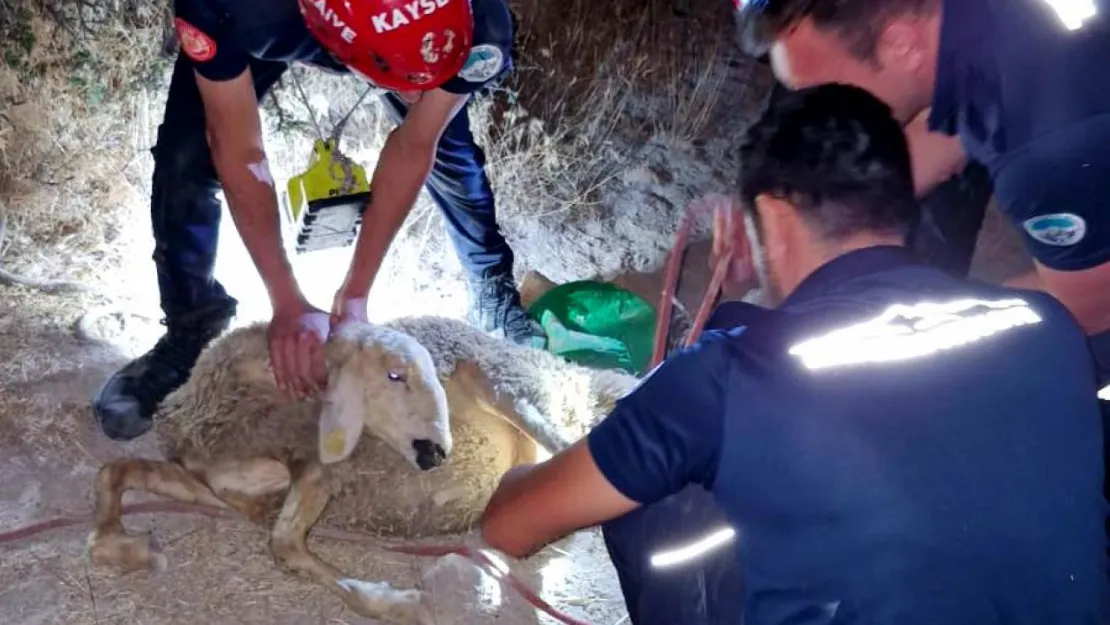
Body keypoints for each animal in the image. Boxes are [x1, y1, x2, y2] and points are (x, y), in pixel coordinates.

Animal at [88, 315, 634, 625]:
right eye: (394, 375)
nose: (438, 453)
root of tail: (571, 380)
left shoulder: (318, 471)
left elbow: (284, 545)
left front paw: (400, 604)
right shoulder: (219, 487)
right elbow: (114, 472)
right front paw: (129, 548)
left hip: (505, 382)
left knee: (569, 441)